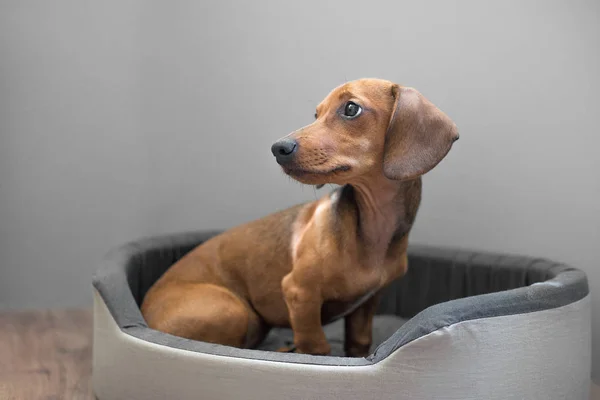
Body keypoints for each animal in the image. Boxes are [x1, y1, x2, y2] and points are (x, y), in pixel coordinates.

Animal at [142, 78, 460, 356]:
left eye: (351, 109)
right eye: (316, 114)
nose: (278, 148)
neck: (371, 226)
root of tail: (143, 312)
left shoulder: (367, 303)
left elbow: (359, 343)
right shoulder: (299, 292)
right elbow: (316, 346)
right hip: (232, 309)